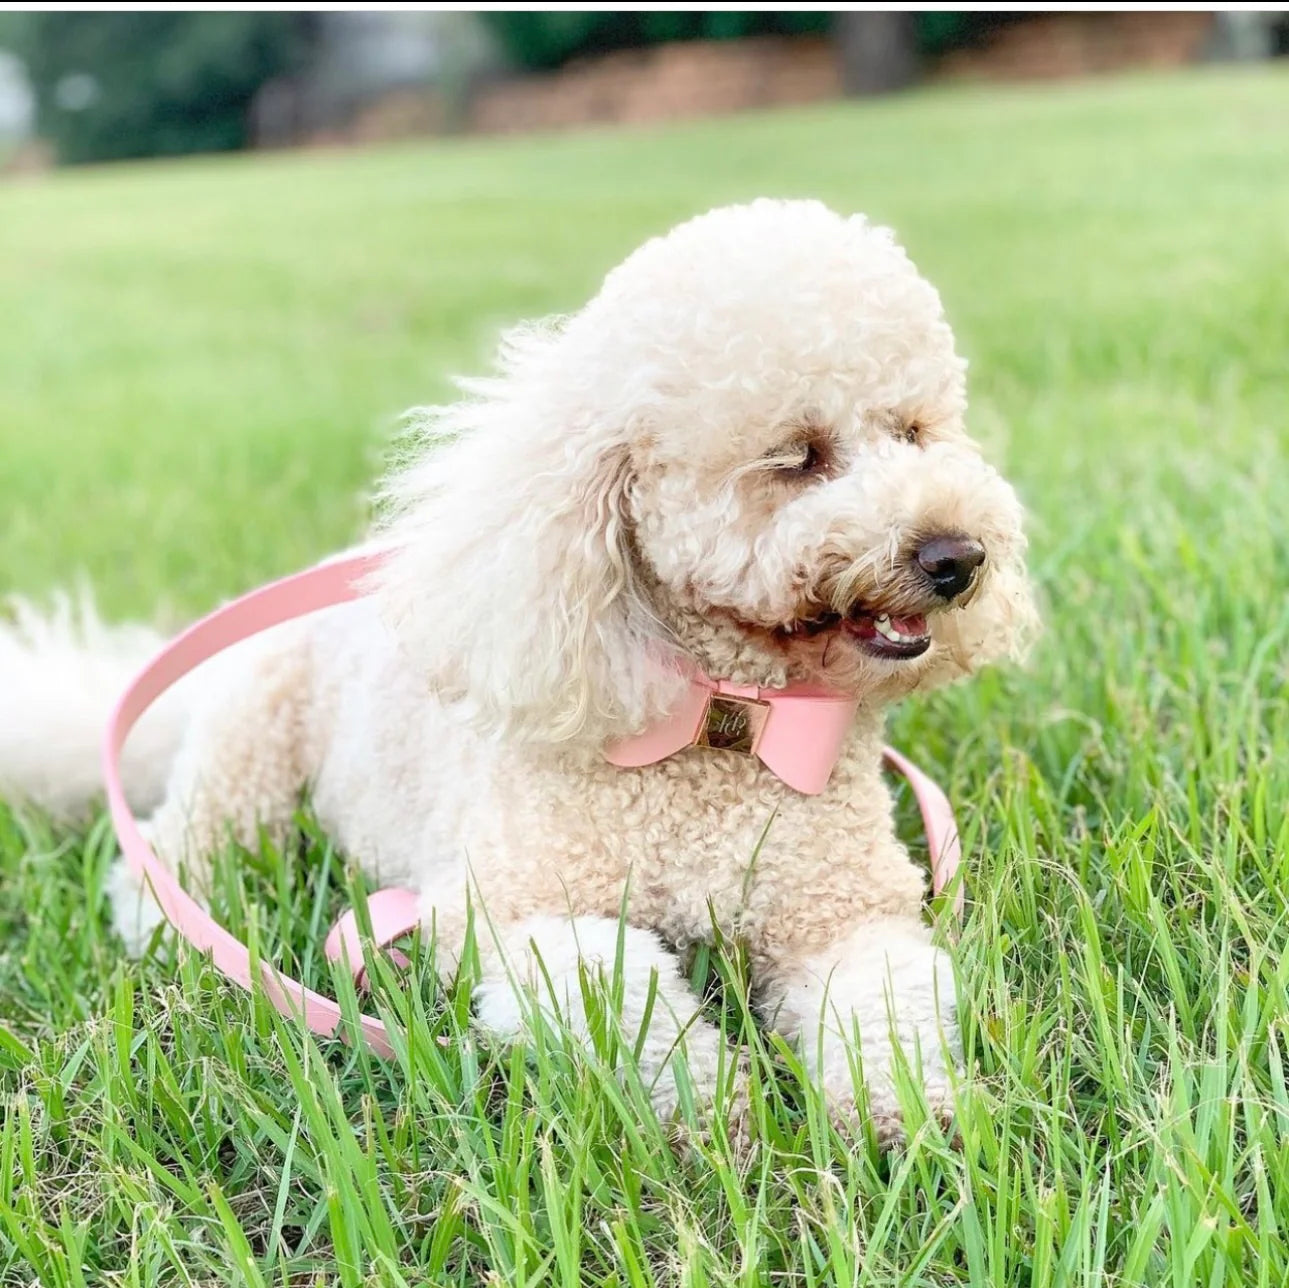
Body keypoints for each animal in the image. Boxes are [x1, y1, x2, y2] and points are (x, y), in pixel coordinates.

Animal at [0, 201, 1031, 1150]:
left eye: (914, 431)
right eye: (797, 457)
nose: (957, 556)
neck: (729, 722)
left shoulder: (848, 912)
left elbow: (885, 1008)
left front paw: (910, 1117)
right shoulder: (509, 910)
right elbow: (625, 992)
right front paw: (713, 1114)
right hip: (245, 756)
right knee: (169, 854)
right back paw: (169, 921)